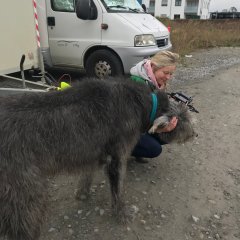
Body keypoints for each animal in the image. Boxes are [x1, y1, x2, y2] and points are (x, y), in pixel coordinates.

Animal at [0, 78, 195, 239]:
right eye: (185, 120)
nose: (195, 134)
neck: (143, 104)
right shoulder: (116, 157)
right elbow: (117, 189)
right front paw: (122, 213)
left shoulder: (93, 153)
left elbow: (87, 174)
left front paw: (82, 193)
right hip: (25, 192)